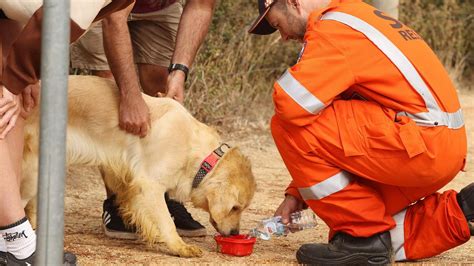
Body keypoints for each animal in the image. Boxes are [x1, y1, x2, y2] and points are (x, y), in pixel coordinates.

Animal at [19, 75, 256, 258]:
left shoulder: (136, 184)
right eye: (235, 208)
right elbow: (166, 221)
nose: (234, 233)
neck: (200, 154)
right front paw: (179, 246)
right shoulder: (149, 184)